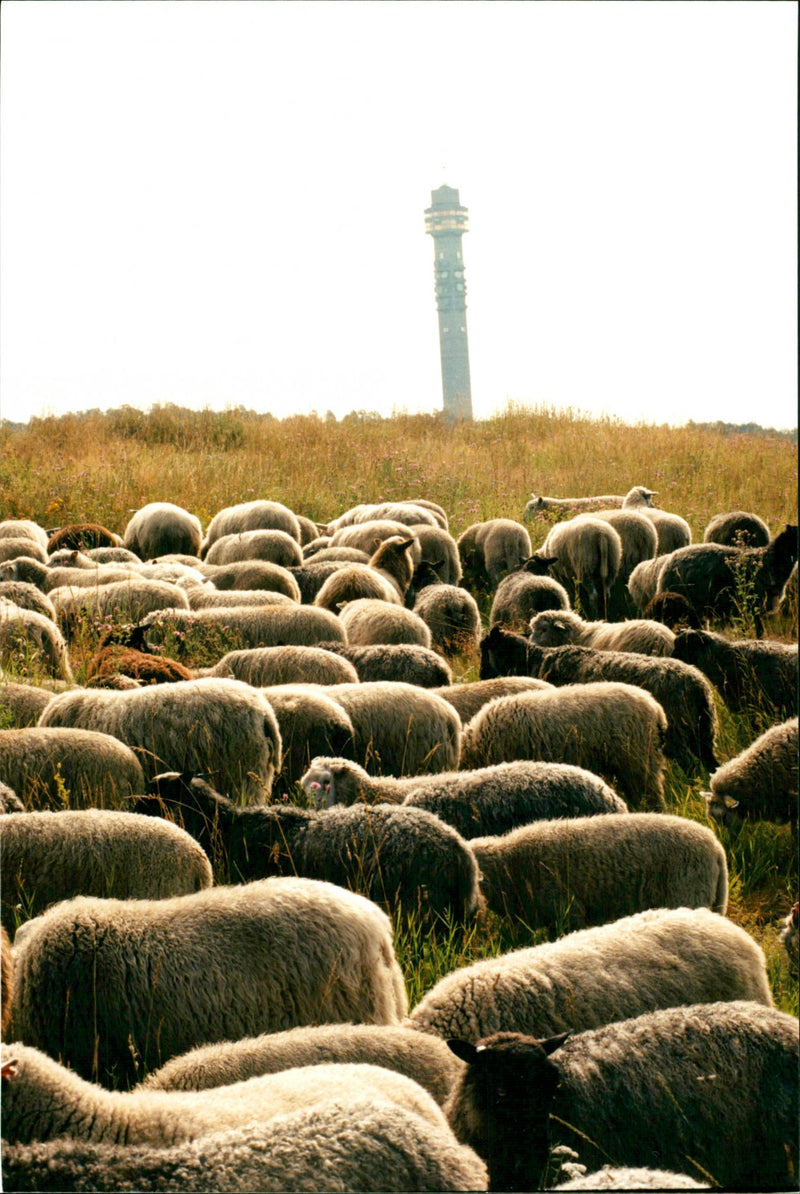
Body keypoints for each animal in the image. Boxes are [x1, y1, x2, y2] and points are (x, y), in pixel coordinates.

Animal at [480, 627, 719, 774]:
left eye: (484, 648)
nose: (481, 675)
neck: (534, 661)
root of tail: (697, 684)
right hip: (704, 732)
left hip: (678, 733)